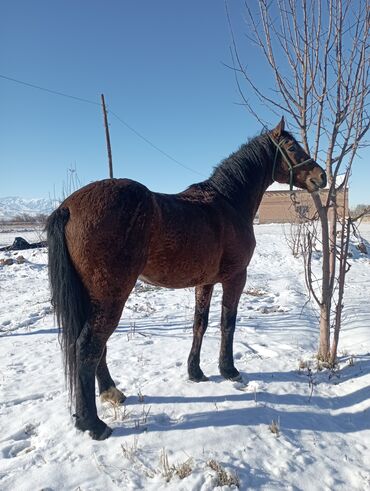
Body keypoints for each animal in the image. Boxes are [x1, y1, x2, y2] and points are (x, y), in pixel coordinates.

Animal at [46, 117, 326, 440]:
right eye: (292, 147)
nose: (322, 176)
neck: (229, 203)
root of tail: (68, 207)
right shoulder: (235, 278)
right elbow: (228, 323)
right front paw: (228, 370)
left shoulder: (205, 282)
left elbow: (199, 324)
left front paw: (196, 372)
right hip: (111, 296)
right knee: (88, 346)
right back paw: (93, 423)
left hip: (94, 296)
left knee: (93, 347)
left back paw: (110, 392)